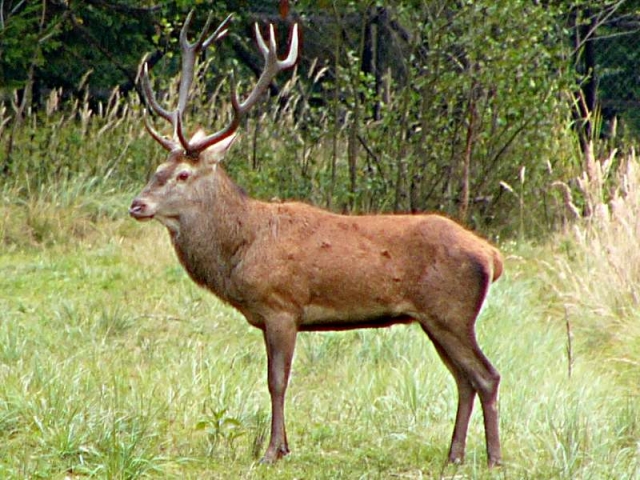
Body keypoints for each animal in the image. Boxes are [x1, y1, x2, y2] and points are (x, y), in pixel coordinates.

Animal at [129, 11, 503, 468]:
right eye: (158, 168)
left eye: (183, 174)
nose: (137, 204)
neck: (241, 249)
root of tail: (492, 256)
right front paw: (283, 446)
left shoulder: (282, 306)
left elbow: (276, 380)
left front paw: (272, 451)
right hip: (435, 318)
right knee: (464, 379)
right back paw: (454, 456)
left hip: (452, 311)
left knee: (486, 376)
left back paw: (494, 458)